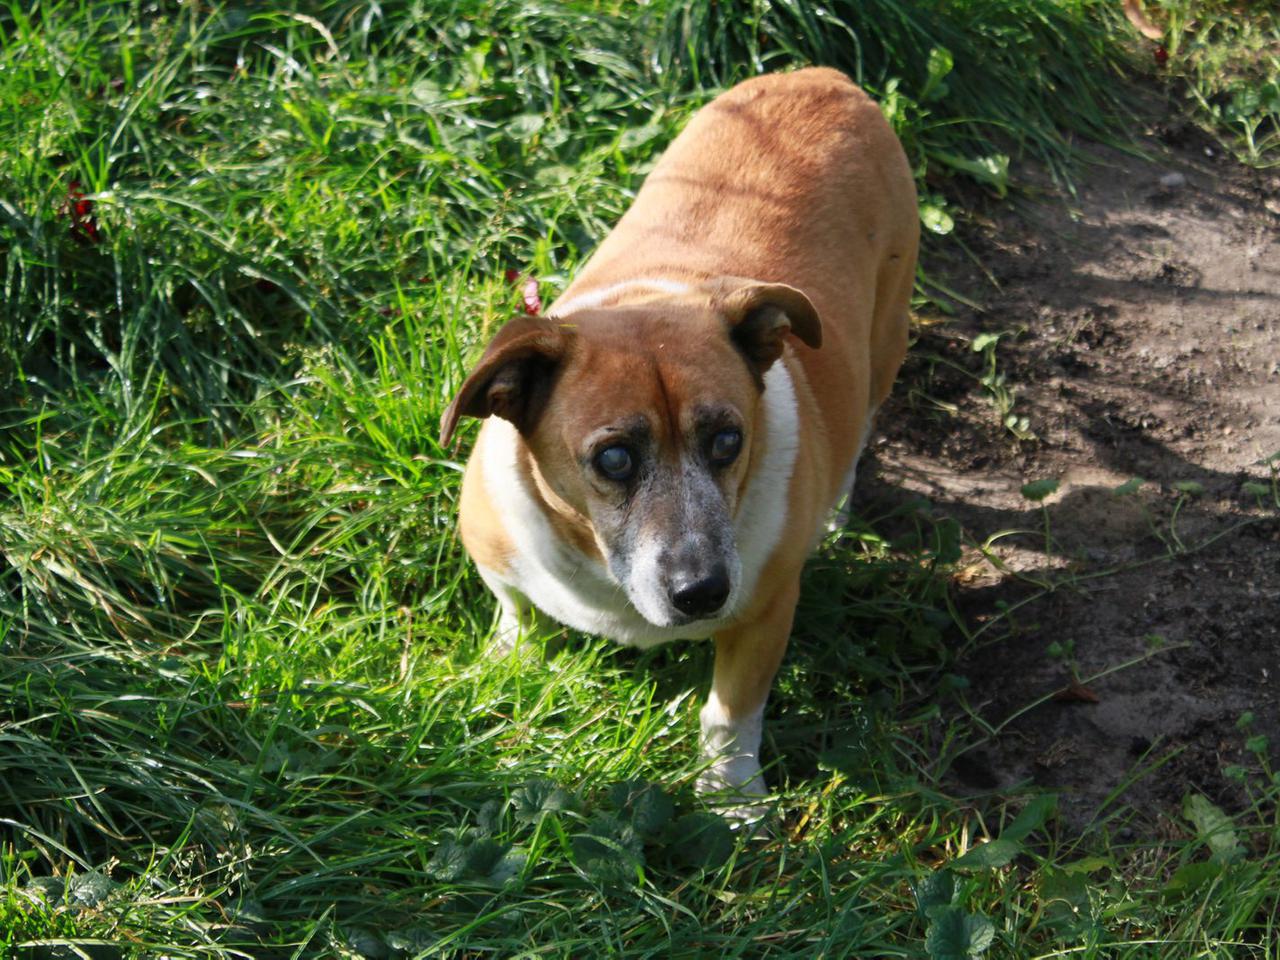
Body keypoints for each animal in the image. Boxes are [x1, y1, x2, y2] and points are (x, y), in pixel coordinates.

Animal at [440, 67, 921, 814]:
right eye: (613, 457)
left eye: (728, 439)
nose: (704, 592)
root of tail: (822, 76)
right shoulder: (496, 550)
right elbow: (515, 608)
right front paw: (509, 662)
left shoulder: (766, 611)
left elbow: (730, 712)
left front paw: (732, 800)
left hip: (887, 333)